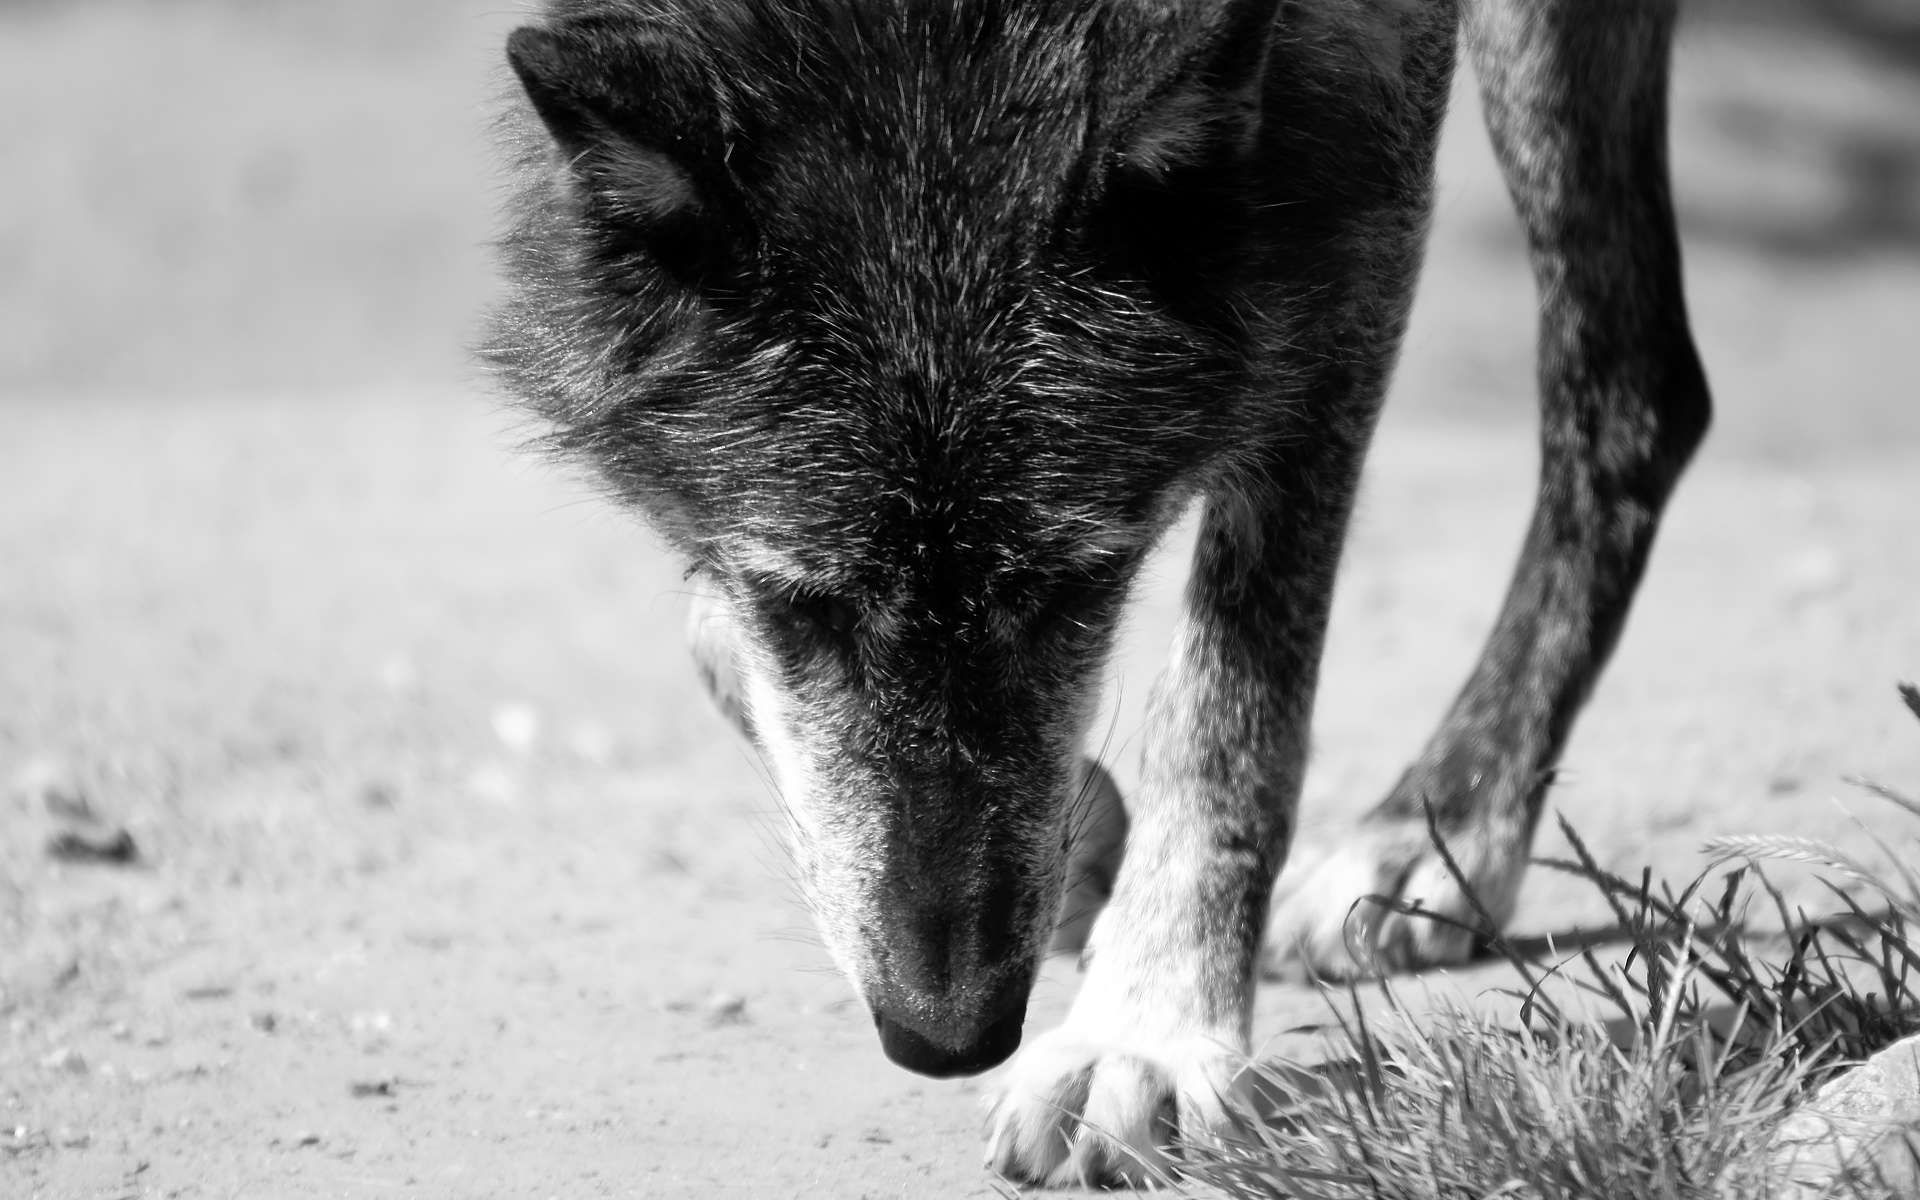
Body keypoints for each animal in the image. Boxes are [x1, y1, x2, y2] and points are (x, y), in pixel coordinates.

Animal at [487, 0, 1720, 1182]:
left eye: (1077, 585)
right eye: (808, 608)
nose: (949, 1039)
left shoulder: (1356, 171)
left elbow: (1234, 702)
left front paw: (1146, 1027)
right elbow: (725, 636)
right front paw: (1084, 845)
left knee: (1633, 386)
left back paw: (1446, 826)